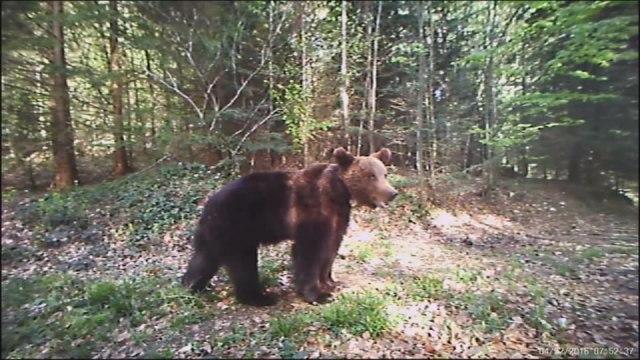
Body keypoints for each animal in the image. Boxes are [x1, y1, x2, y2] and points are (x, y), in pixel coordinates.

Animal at [182, 146, 398, 306]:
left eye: (384, 173)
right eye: (371, 175)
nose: (392, 193)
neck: (337, 193)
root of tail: (209, 203)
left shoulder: (339, 217)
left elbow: (332, 247)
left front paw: (331, 282)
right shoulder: (311, 212)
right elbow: (310, 251)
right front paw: (317, 294)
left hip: (216, 232)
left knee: (203, 258)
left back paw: (191, 286)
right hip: (237, 227)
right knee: (242, 263)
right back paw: (260, 297)